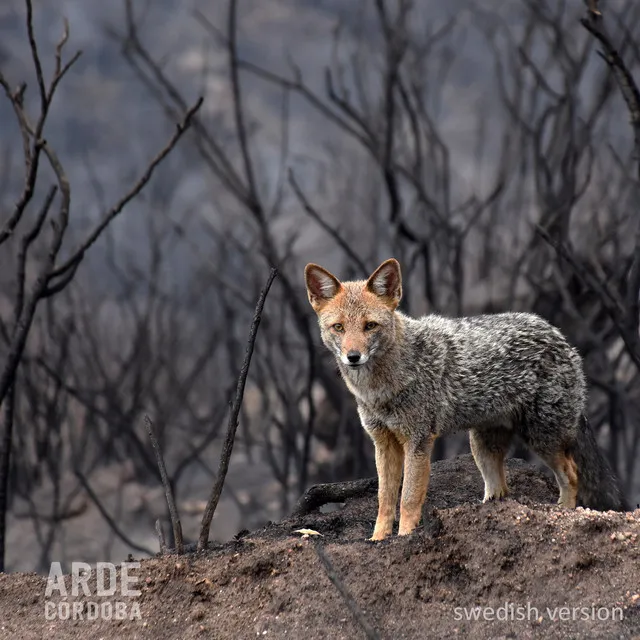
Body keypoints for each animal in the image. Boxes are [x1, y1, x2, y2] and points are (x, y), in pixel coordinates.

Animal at [304, 255, 624, 540]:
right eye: (339, 327)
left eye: (370, 326)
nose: (353, 357)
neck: (380, 389)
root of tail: (559, 335)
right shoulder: (383, 443)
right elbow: (384, 500)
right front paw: (378, 540)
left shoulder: (419, 440)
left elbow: (408, 499)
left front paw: (405, 537)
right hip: (482, 449)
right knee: (500, 491)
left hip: (541, 438)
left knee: (571, 474)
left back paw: (564, 514)